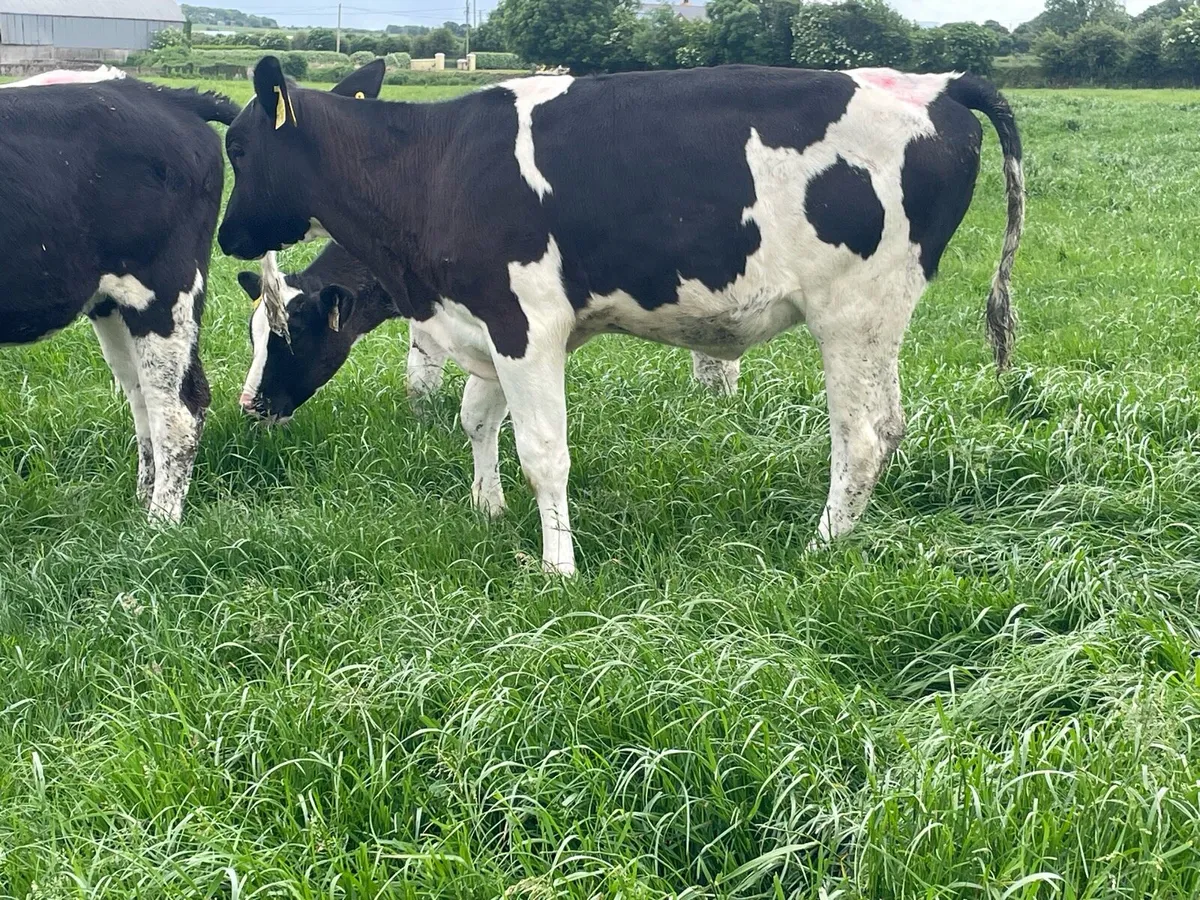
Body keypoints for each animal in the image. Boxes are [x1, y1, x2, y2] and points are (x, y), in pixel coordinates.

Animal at [0, 69, 238, 521]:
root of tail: (163, 96)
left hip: (164, 290)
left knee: (180, 408)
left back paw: (160, 522)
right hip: (113, 304)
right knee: (142, 396)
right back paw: (139, 504)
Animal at [218, 58, 1024, 576]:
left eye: (237, 146)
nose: (250, 404)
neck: (432, 166)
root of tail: (941, 83)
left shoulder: (525, 323)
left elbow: (544, 452)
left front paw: (558, 566)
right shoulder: (489, 324)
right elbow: (476, 419)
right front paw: (488, 509)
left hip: (856, 313)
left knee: (864, 435)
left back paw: (820, 548)